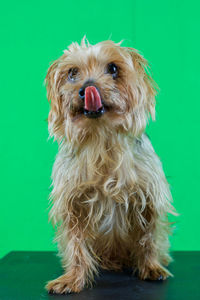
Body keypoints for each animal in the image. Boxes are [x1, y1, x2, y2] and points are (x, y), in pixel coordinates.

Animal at [44, 37, 176, 292]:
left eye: (113, 68)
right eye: (72, 72)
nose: (86, 89)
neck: (101, 138)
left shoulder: (148, 197)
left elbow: (149, 235)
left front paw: (151, 267)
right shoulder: (73, 202)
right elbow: (75, 242)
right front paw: (72, 278)